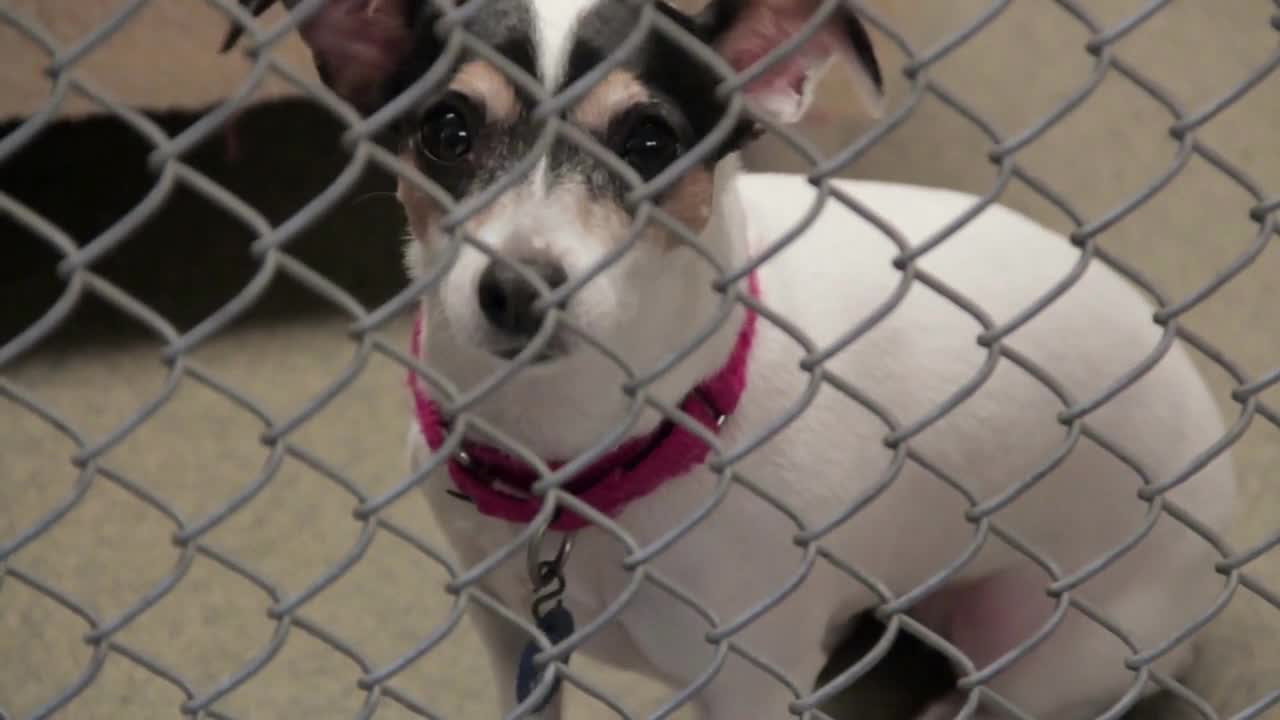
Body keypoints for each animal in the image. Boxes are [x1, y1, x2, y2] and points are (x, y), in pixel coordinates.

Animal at [230, 2, 1239, 712]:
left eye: (649, 140)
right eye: (447, 130)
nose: (519, 287)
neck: (580, 472)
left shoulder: (747, 683)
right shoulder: (507, 635)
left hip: (1043, 658)